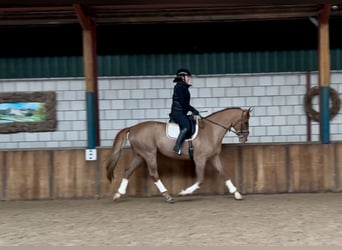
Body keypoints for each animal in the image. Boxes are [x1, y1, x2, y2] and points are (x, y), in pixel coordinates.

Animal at [106, 107, 251, 203]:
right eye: (245, 122)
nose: (244, 139)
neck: (211, 130)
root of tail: (132, 128)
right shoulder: (200, 159)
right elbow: (200, 179)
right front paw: (184, 192)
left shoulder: (213, 158)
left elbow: (224, 174)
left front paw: (236, 193)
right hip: (149, 154)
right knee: (154, 174)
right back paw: (168, 196)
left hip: (140, 155)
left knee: (128, 171)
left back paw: (118, 194)